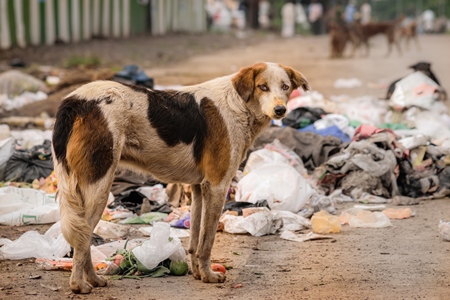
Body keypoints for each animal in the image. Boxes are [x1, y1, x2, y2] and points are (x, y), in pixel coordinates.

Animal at [51, 61, 310, 292]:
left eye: (285, 87)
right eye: (262, 87)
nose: (280, 110)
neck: (238, 104)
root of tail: (74, 100)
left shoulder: (198, 188)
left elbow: (195, 239)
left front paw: (197, 274)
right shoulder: (217, 186)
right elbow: (207, 241)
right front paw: (209, 276)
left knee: (82, 238)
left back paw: (93, 280)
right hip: (98, 186)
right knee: (82, 238)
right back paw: (80, 285)